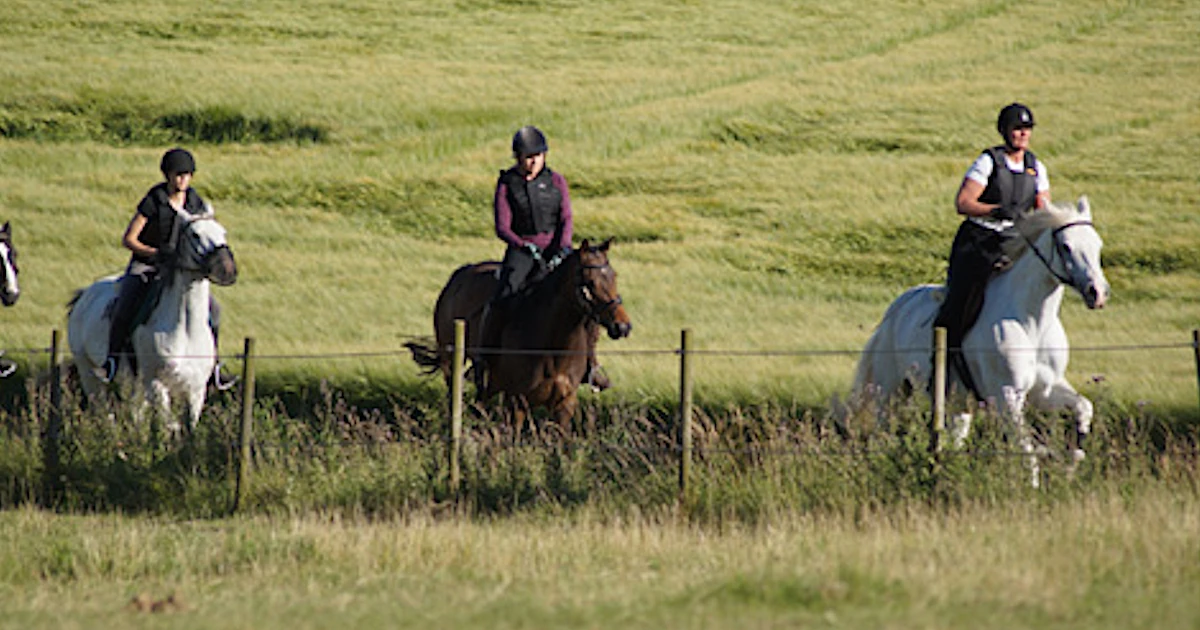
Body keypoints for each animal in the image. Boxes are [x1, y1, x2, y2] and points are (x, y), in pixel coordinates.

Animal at [67, 211, 236, 427]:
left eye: (223, 233)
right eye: (195, 235)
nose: (228, 269)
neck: (185, 329)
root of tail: (84, 295)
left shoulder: (196, 391)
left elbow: (188, 427)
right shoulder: (157, 385)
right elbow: (169, 426)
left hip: (135, 383)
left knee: (134, 413)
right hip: (88, 371)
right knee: (103, 411)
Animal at [408, 238, 633, 424]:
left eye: (614, 276)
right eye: (589, 282)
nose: (623, 327)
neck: (554, 348)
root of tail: (459, 275)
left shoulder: (564, 406)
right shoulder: (517, 403)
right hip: (452, 360)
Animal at [854, 198, 1104, 487]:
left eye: (1097, 244)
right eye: (1066, 246)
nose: (1098, 293)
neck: (1032, 322)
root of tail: (896, 308)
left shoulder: (1045, 389)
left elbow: (1083, 408)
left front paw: (1073, 463)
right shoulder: (1007, 395)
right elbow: (1025, 448)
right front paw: (1033, 489)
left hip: (957, 402)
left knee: (952, 440)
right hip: (889, 391)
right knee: (881, 431)